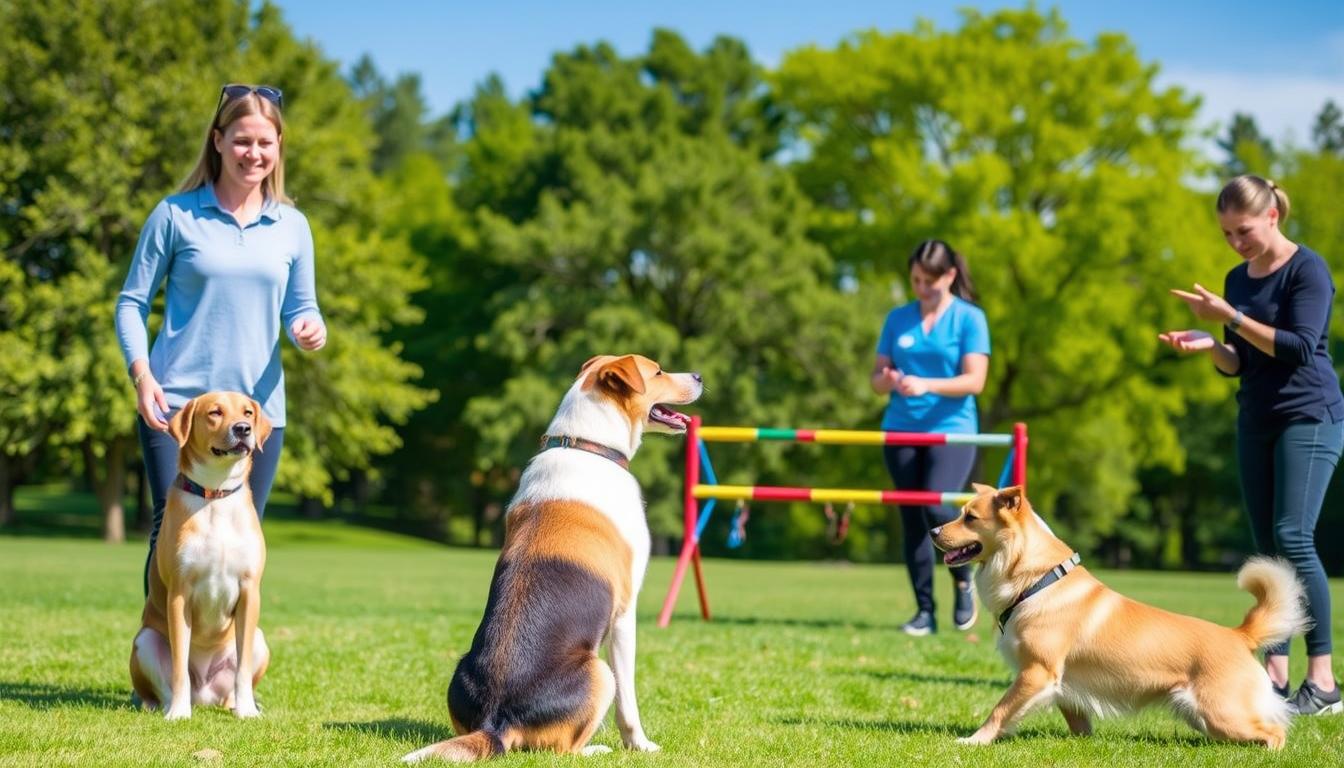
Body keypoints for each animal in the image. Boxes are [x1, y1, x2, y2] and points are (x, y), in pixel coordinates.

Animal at [128, 390, 272, 720]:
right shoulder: (180, 594)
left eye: (247, 412)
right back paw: (167, 706)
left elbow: (243, 670)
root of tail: (204, 696)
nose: (243, 428)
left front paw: (247, 711)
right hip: (145, 641)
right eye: (215, 412)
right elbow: (179, 666)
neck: (216, 497)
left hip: (260, 640)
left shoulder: (249, 591)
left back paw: (235, 704)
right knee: (162, 687)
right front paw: (179, 714)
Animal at [400, 355, 704, 763]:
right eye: (657, 372)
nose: (699, 376)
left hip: (461, 669)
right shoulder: (625, 611)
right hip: (600, 671)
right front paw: (640, 745)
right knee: (564, 749)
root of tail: (497, 721)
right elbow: (629, 704)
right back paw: (596, 749)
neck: (586, 445)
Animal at [930, 484, 1306, 747]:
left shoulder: (1036, 672)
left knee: (1276, 732)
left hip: (1222, 714)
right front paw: (1082, 743)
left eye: (970, 517)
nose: (932, 531)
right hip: (1203, 716)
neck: (1038, 582)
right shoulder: (1061, 685)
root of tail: (1239, 634)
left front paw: (974, 741)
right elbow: (1078, 721)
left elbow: (1000, 710)